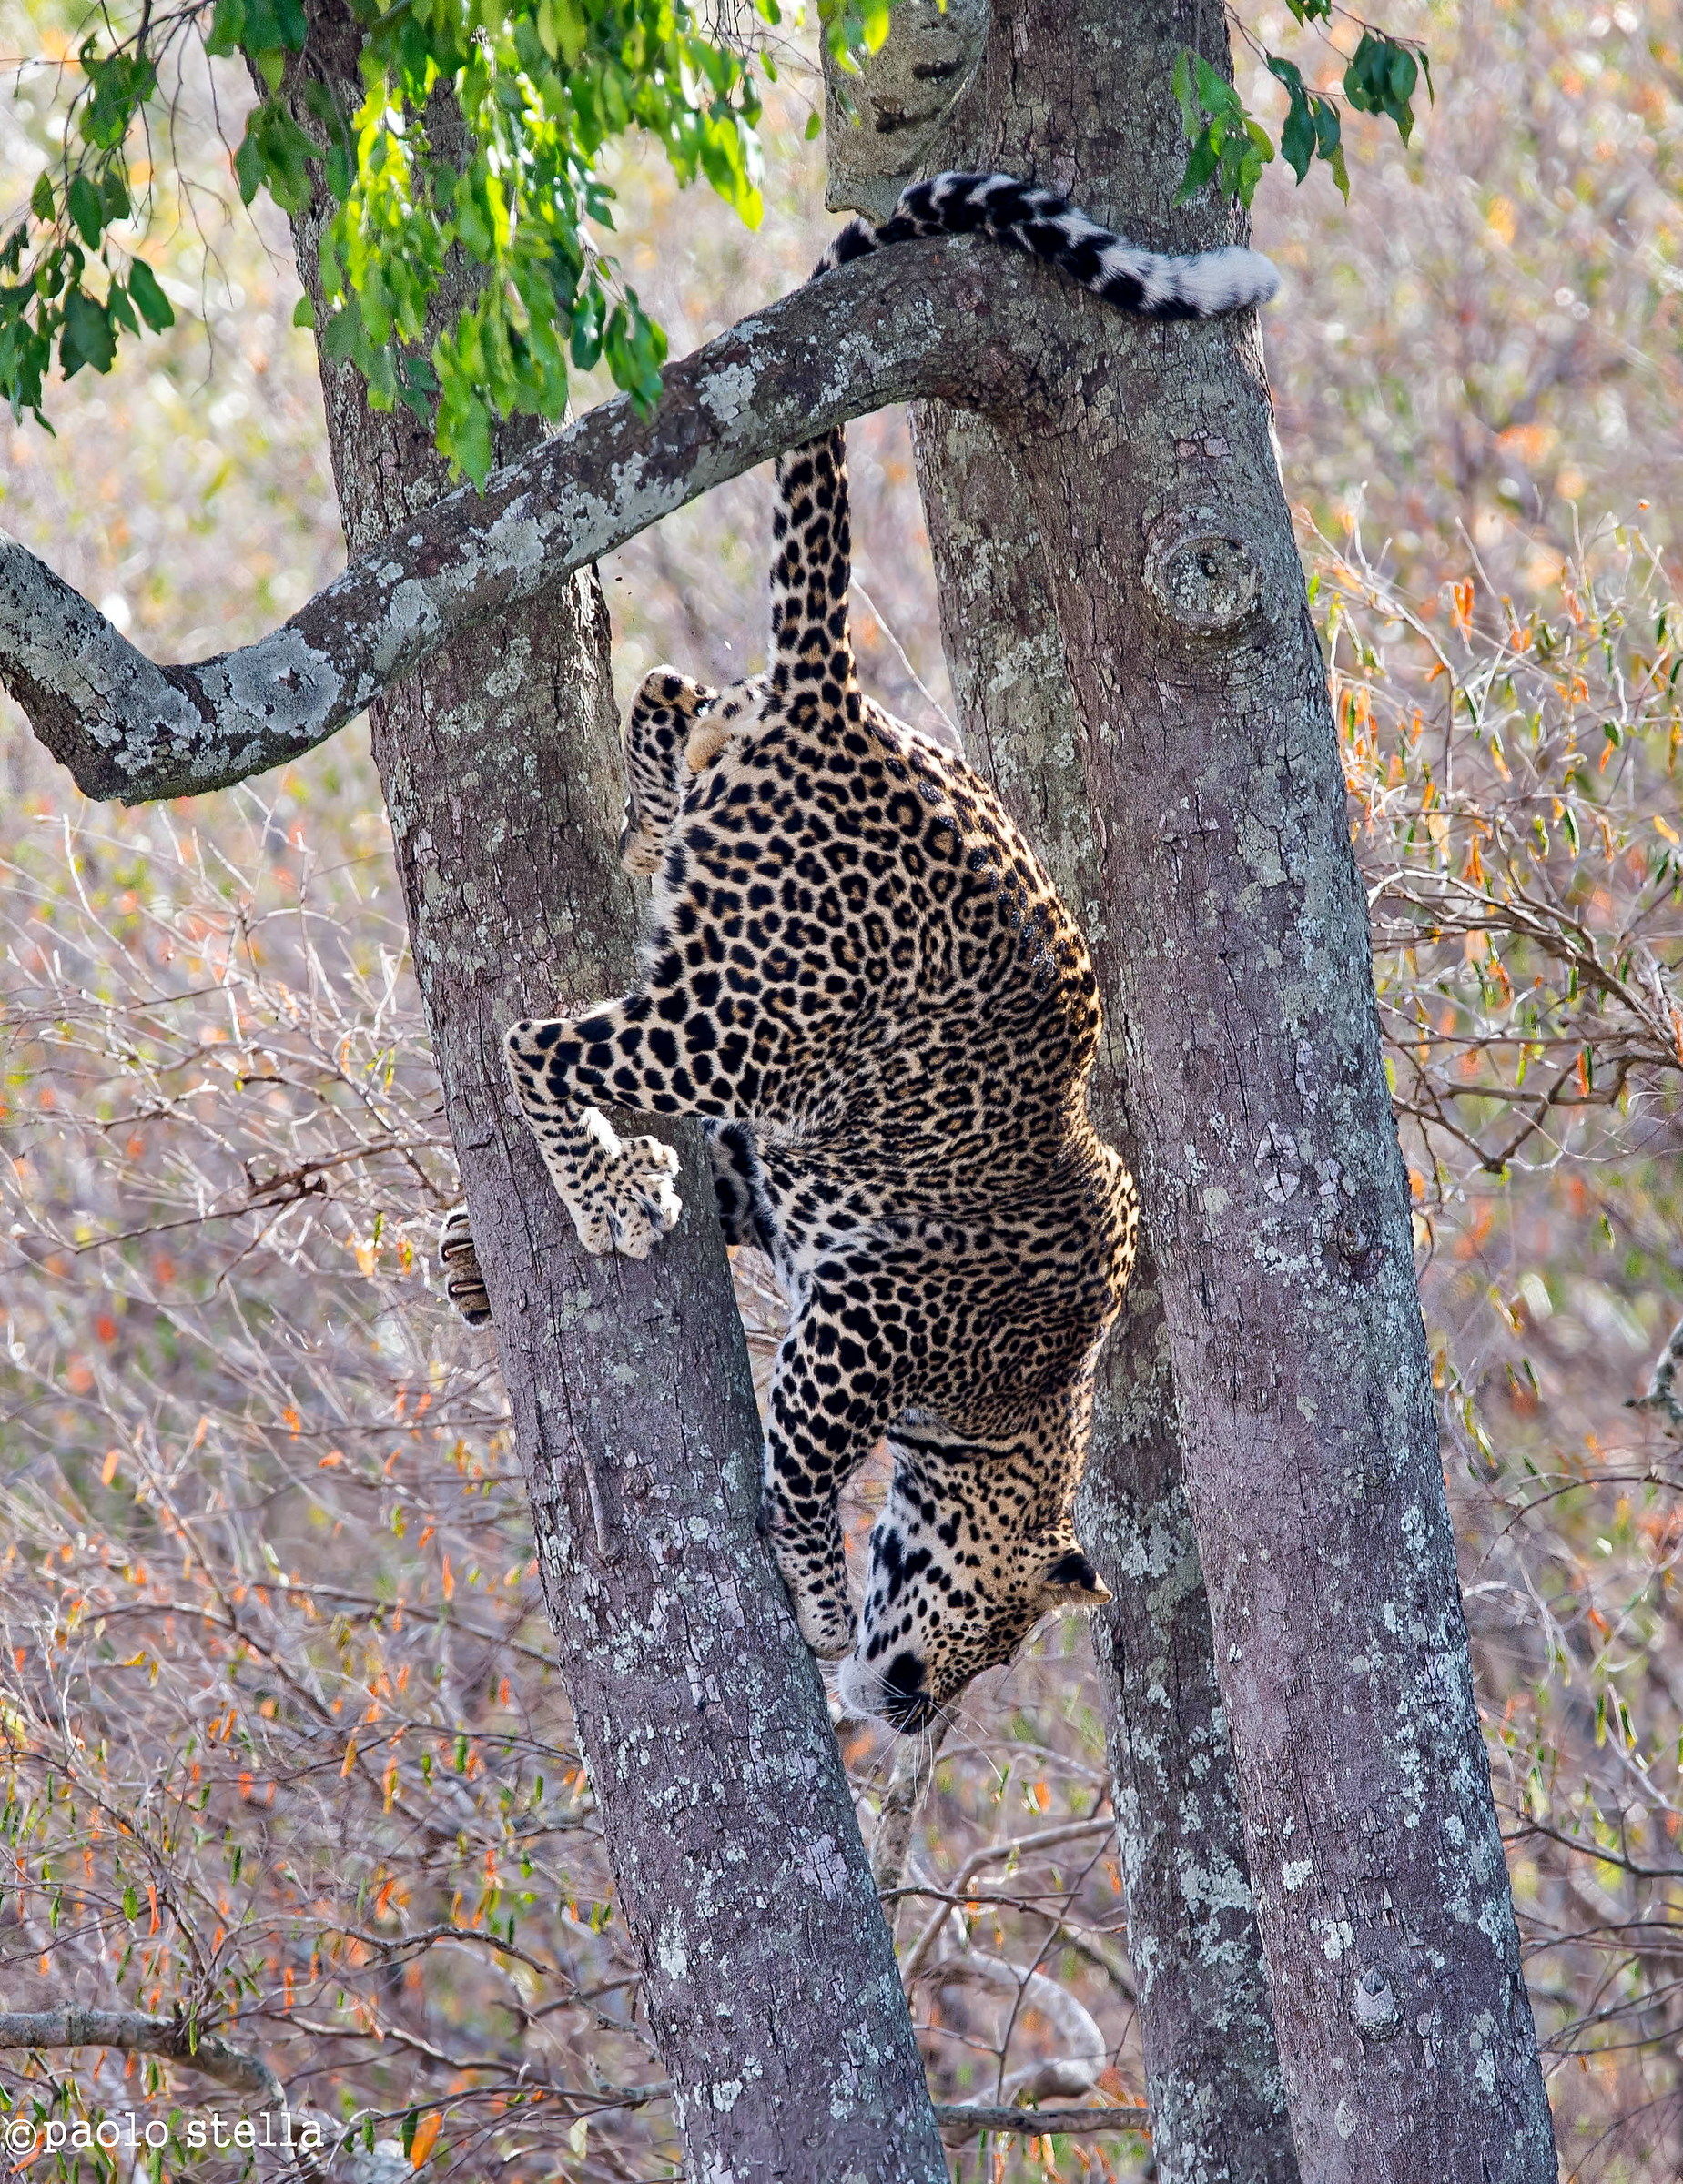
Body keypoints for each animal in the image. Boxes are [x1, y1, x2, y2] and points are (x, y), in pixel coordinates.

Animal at [440, 173, 1279, 1730]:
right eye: (997, 1636)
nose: (910, 1711)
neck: (1017, 1413)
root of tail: (843, 710)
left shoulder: (779, 1189)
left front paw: (464, 1261)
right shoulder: (855, 1338)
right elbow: (793, 1485)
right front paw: (823, 1611)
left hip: (752, 987)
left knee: (673, 688)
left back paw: (653, 823)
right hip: (748, 1023)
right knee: (529, 1037)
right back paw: (603, 1193)